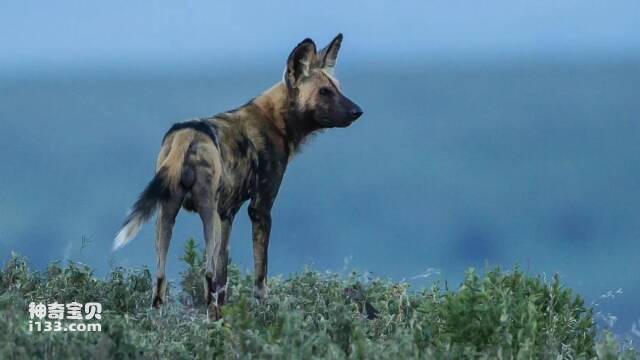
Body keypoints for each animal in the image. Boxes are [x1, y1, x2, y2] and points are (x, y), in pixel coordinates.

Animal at [114, 34, 360, 320]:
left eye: (338, 88)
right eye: (323, 92)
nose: (357, 111)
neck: (276, 120)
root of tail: (188, 134)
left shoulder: (227, 215)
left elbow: (223, 278)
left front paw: (227, 311)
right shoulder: (260, 209)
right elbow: (259, 274)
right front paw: (263, 310)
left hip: (167, 215)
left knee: (161, 277)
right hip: (207, 215)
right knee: (206, 272)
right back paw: (212, 317)